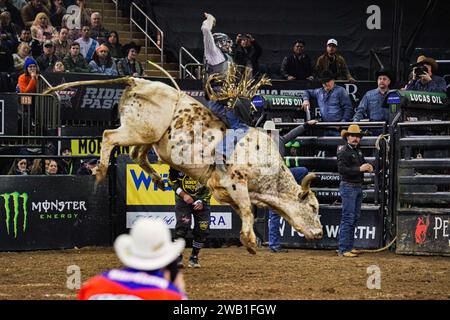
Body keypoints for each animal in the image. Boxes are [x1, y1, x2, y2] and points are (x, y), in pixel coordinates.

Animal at [44, 74, 322, 252]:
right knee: (108, 136)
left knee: (136, 154)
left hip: (151, 138)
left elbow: (244, 211)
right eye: (314, 207)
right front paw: (251, 242)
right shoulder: (236, 182)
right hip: (139, 130)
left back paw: (157, 180)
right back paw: (101, 171)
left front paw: (247, 239)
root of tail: (138, 81)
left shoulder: (223, 191)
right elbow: (247, 210)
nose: (319, 233)